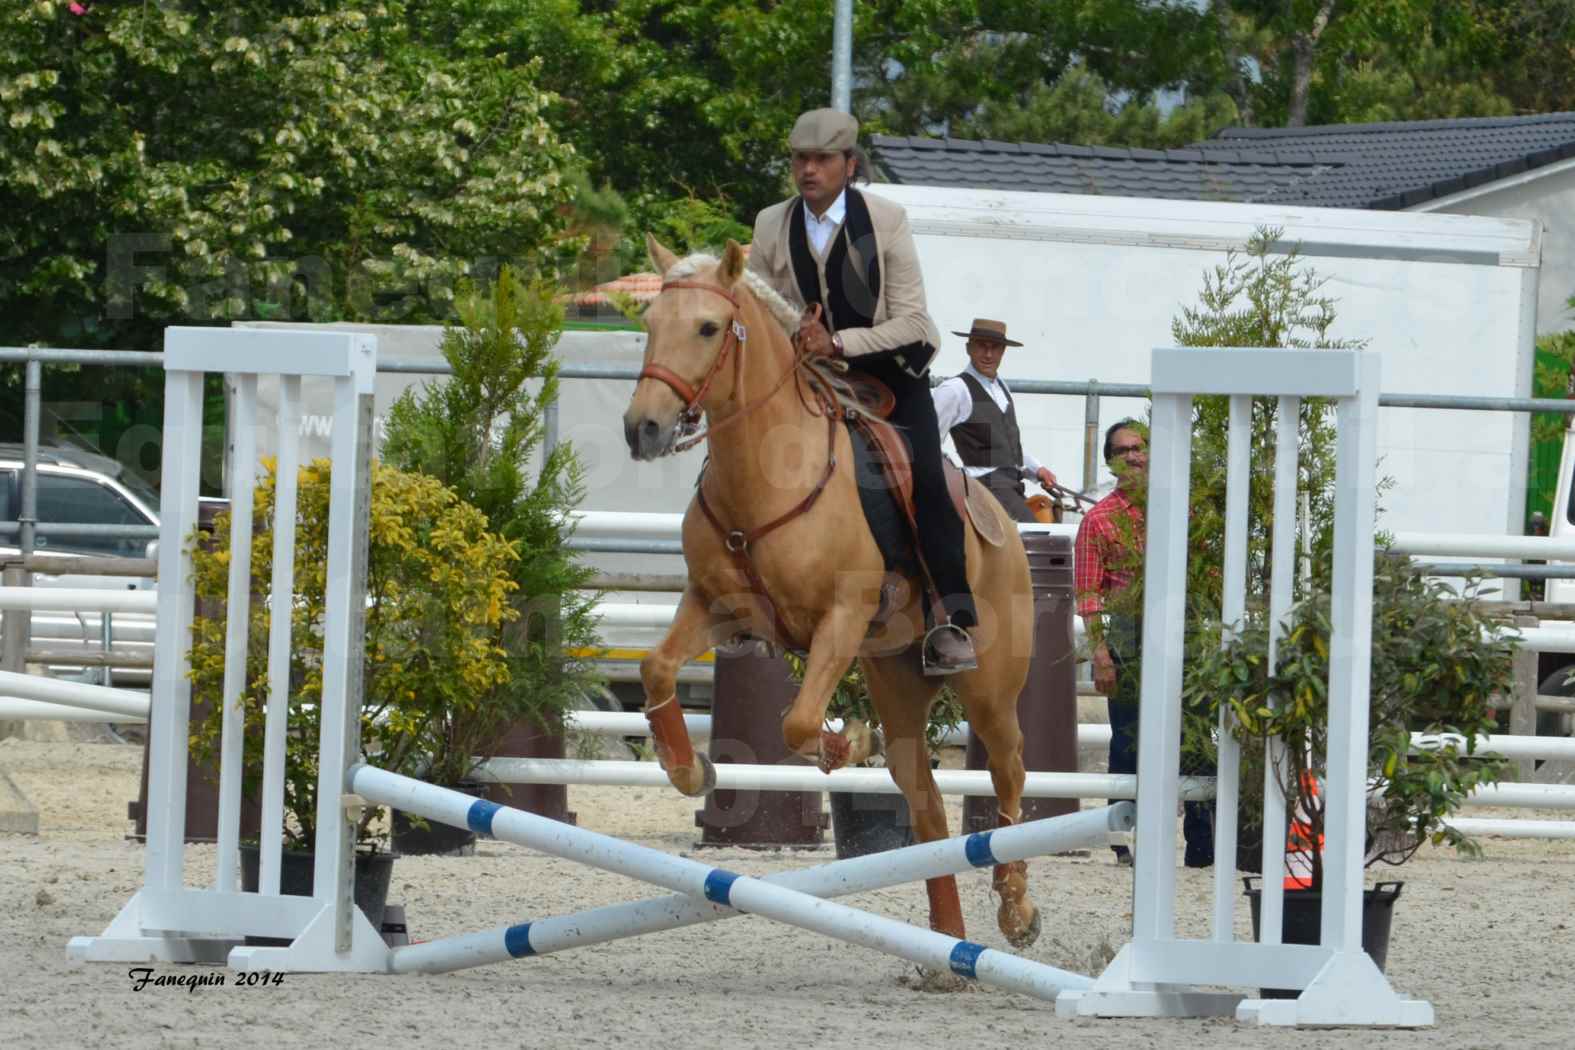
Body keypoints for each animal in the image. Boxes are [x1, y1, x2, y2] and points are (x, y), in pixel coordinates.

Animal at [623, 237, 1045, 950]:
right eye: (650, 324)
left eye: (708, 328)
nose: (642, 429)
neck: (767, 473)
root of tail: (1004, 521)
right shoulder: (716, 608)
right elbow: (657, 668)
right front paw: (690, 768)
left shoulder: (841, 620)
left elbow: (796, 722)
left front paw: (846, 742)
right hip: (897, 677)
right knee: (926, 804)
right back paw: (943, 944)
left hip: (988, 688)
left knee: (1009, 774)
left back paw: (1017, 910)